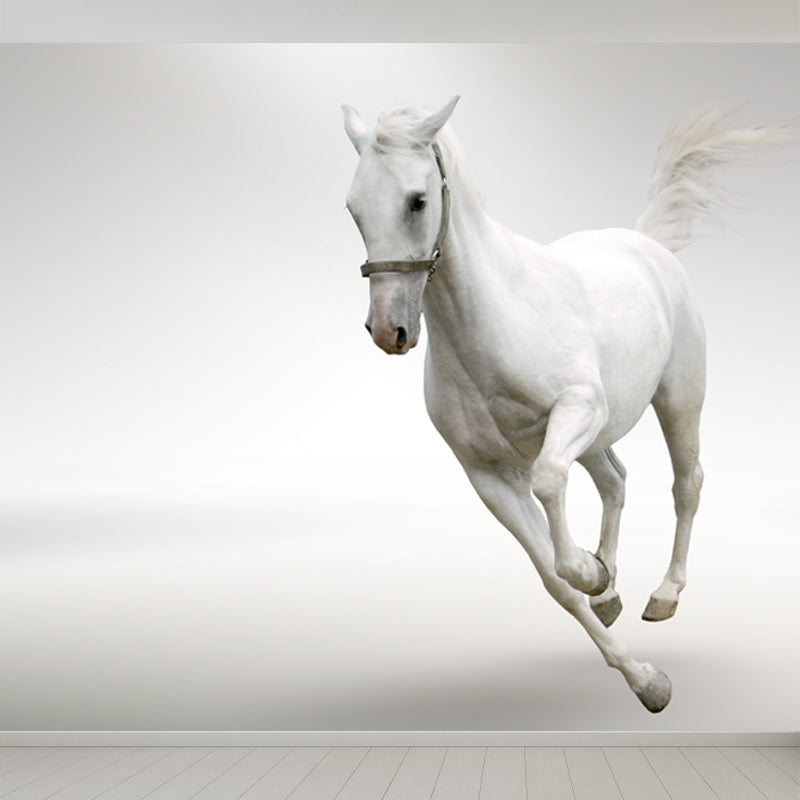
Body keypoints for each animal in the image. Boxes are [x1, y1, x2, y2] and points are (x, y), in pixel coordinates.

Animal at [341, 96, 788, 712]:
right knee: (616, 480)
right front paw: (643, 674)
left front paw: (594, 576)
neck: (494, 320)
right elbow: (554, 580)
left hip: (677, 400)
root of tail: (645, 242)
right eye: (354, 208)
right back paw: (612, 589)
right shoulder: (487, 474)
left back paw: (663, 594)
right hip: (600, 435)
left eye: (418, 200)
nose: (389, 330)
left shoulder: (576, 410)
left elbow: (551, 485)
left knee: (686, 484)